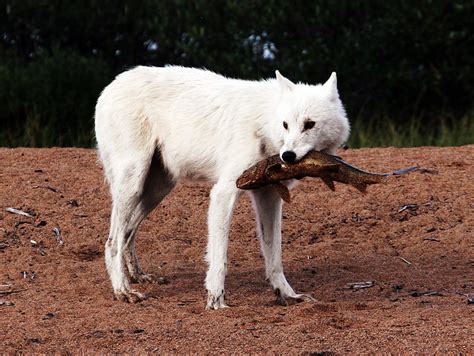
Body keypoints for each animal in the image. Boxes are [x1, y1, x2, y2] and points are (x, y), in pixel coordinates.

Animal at [95, 66, 348, 308]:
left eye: (309, 124)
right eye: (285, 125)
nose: (287, 156)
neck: (264, 124)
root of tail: (110, 86)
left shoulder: (269, 196)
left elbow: (274, 255)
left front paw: (288, 295)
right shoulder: (223, 193)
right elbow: (219, 257)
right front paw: (216, 300)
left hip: (157, 189)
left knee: (128, 234)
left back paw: (138, 277)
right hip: (134, 184)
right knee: (112, 242)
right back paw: (123, 291)